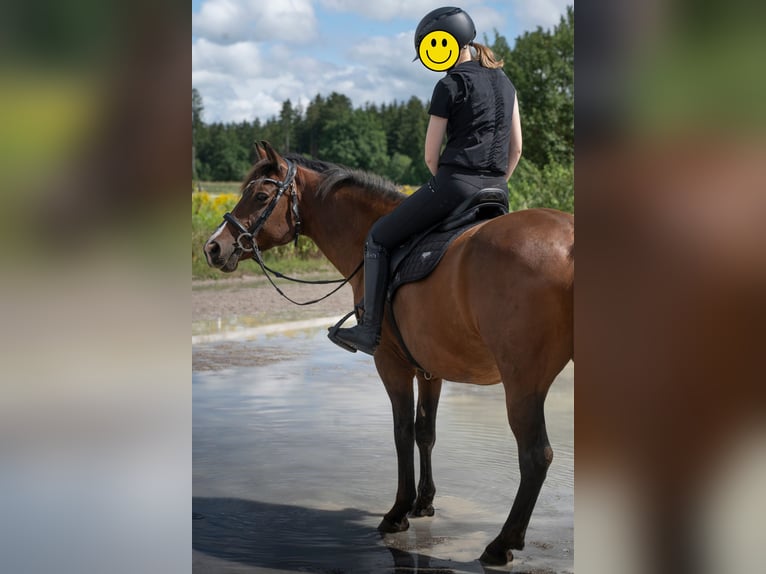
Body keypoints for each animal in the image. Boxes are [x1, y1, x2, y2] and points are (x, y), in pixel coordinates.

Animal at [203, 141, 574, 566]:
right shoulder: (430, 368)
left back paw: (502, 543)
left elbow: (401, 432)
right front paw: (424, 503)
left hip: (522, 382)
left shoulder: (391, 363)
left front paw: (398, 512)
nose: (213, 247)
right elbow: (425, 432)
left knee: (535, 456)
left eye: (262, 197)